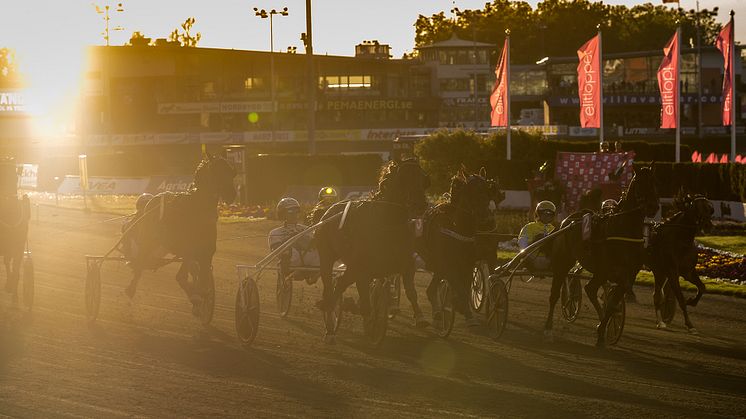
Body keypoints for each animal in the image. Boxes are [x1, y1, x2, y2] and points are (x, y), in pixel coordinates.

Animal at [122, 154, 234, 316]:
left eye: (232, 172)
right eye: (217, 172)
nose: (232, 195)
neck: (197, 211)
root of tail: (152, 200)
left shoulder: (207, 252)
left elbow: (201, 274)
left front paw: (200, 296)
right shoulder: (188, 250)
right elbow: (182, 276)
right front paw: (196, 296)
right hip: (147, 240)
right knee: (140, 263)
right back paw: (131, 287)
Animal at [314, 159, 428, 342]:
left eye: (424, 179)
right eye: (404, 178)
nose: (420, 205)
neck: (387, 223)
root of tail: (328, 210)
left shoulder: (405, 263)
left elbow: (410, 291)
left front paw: (420, 317)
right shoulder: (362, 267)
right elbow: (363, 298)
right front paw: (371, 324)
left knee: (345, 284)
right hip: (327, 256)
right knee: (331, 288)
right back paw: (331, 327)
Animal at [418, 167, 500, 328]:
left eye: (487, 188)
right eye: (471, 190)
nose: (485, 216)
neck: (457, 228)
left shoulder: (469, 261)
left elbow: (466, 285)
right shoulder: (449, 264)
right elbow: (460, 288)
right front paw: (467, 313)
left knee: (431, 290)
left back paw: (437, 313)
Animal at [540, 165, 656, 348]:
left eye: (654, 182)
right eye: (640, 183)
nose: (653, 206)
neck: (623, 230)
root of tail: (566, 221)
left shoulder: (627, 275)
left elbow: (613, 302)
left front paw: (604, 330)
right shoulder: (605, 270)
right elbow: (603, 297)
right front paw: (602, 330)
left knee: (590, 289)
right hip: (563, 262)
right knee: (557, 294)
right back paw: (548, 328)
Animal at [648, 192, 712, 334]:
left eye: (710, 208)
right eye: (698, 208)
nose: (708, 225)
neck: (681, 240)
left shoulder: (688, 272)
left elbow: (702, 287)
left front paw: (692, 301)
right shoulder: (672, 271)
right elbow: (681, 298)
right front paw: (689, 324)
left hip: (660, 272)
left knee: (656, 296)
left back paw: (660, 322)